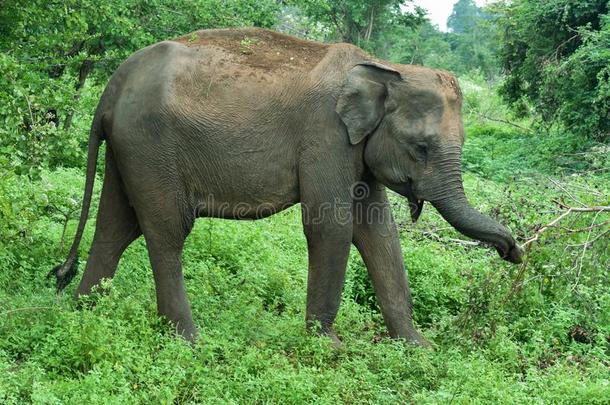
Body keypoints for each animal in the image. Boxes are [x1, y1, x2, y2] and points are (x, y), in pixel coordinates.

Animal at [50, 26, 520, 346]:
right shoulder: (325, 136)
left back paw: (82, 312)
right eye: (421, 148)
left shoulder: (354, 149)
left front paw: (418, 348)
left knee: (116, 226)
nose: (513, 253)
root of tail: (112, 86)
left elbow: (379, 232)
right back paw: (189, 341)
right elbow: (332, 226)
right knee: (166, 230)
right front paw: (328, 347)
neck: (386, 68)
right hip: (149, 145)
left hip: (128, 148)